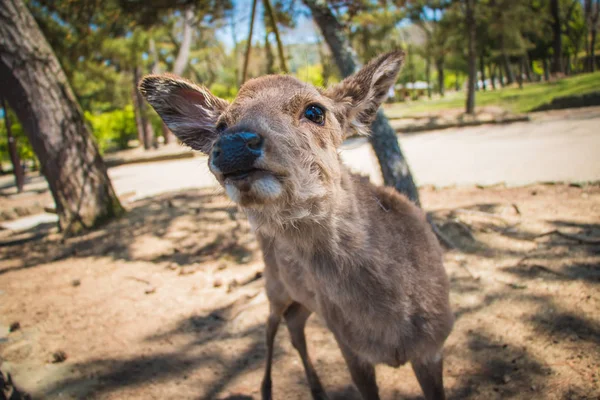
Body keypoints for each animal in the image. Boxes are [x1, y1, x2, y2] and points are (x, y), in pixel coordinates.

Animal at [139, 50, 454, 400]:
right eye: (221, 124)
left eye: (315, 111)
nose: (234, 145)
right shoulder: (350, 348)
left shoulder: (433, 345)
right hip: (274, 284)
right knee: (271, 326)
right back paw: (267, 389)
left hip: (303, 298)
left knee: (294, 324)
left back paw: (317, 390)